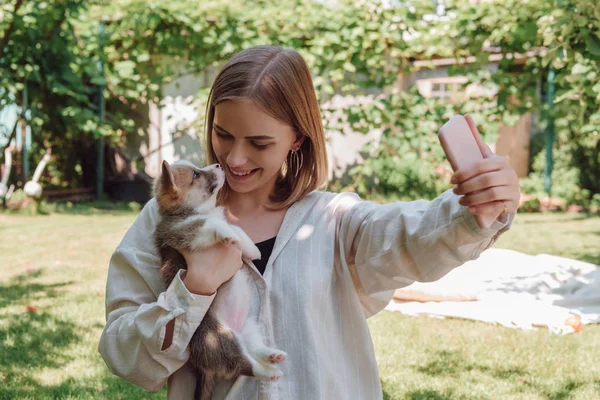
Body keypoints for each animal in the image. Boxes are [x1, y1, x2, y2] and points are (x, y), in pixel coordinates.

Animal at [154, 160, 288, 400]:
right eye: (196, 175)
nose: (218, 164)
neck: (195, 211)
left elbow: (237, 228)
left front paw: (251, 250)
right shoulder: (188, 232)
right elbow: (214, 226)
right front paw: (228, 236)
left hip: (249, 327)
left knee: (253, 348)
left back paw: (272, 355)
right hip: (220, 339)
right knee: (244, 365)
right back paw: (269, 372)